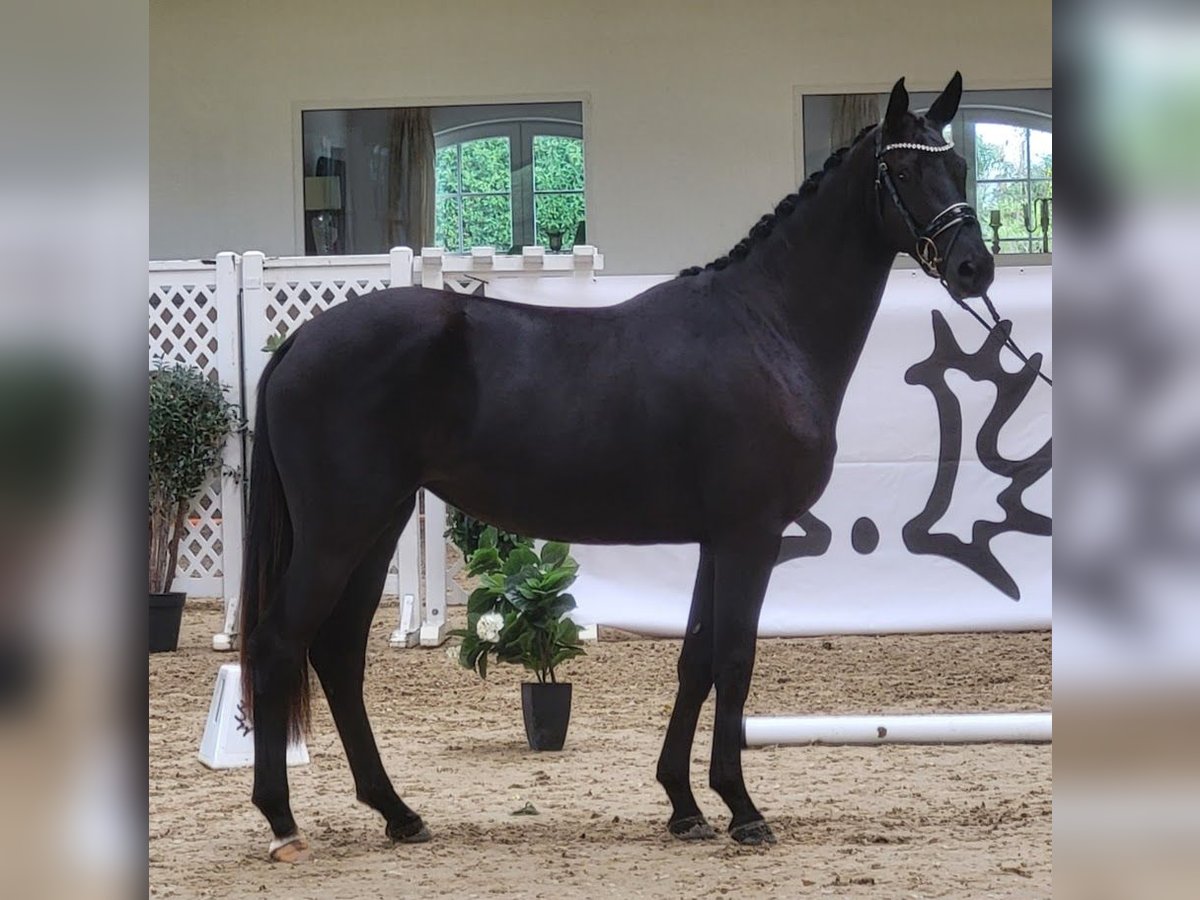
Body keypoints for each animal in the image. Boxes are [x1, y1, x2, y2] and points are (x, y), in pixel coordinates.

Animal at [241, 74, 993, 864]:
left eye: (958, 166)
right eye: (902, 171)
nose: (975, 267)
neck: (765, 327)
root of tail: (298, 343)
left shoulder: (717, 539)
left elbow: (696, 659)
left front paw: (684, 804)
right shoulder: (751, 535)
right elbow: (735, 657)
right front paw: (741, 807)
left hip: (376, 527)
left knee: (336, 653)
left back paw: (397, 812)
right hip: (339, 531)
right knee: (279, 642)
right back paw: (283, 821)